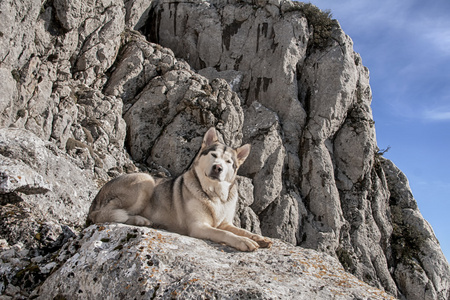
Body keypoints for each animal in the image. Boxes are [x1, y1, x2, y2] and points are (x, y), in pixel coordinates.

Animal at [86, 126, 272, 251]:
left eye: (228, 162)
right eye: (213, 155)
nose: (218, 167)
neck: (215, 195)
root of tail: (94, 202)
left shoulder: (225, 223)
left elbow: (242, 230)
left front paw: (259, 237)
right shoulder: (199, 226)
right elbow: (226, 234)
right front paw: (244, 242)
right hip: (145, 180)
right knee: (108, 215)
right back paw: (139, 220)